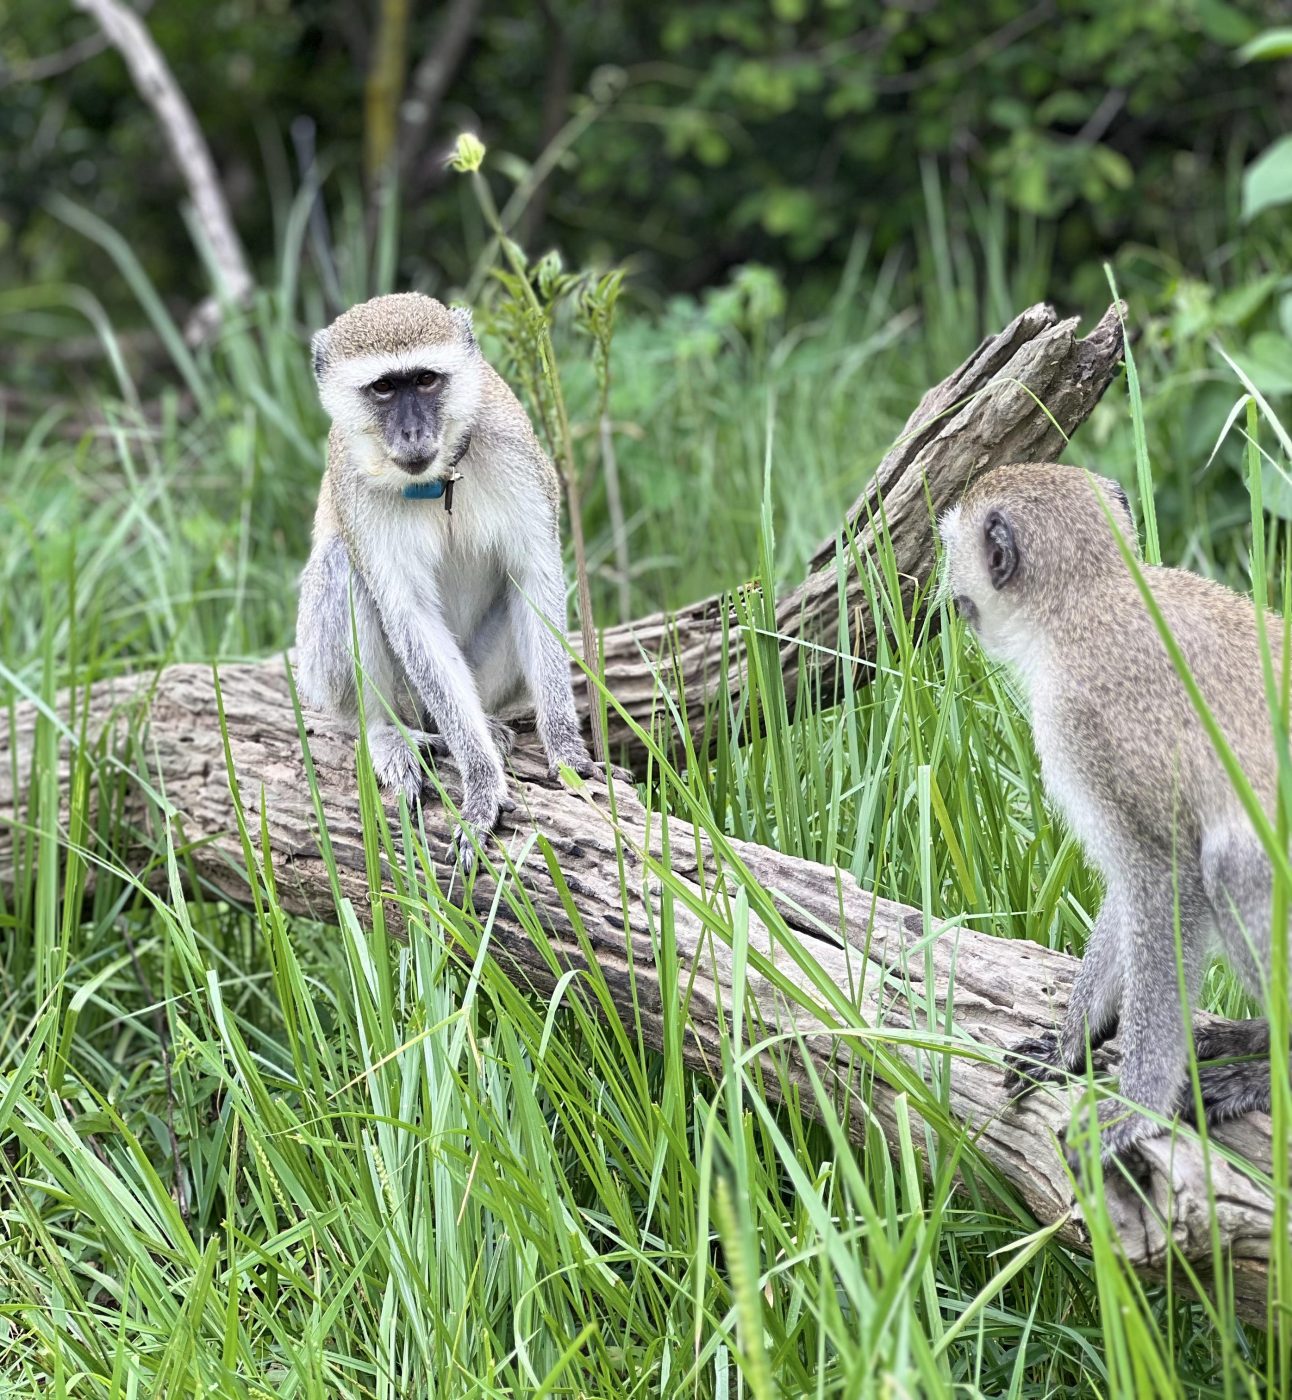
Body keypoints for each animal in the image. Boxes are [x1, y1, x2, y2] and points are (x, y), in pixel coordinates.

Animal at [295, 294, 599, 856]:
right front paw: (481, 782)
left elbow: (533, 581)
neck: (439, 481)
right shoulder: (354, 485)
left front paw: (566, 751)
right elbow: (408, 613)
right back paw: (388, 733)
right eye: (385, 387)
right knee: (341, 563)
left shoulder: (516, 452)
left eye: (426, 380)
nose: (413, 433)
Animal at [940, 464, 1292, 1164]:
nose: (947, 598)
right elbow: (1128, 897)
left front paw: (1139, 1105)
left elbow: (1167, 882)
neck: (1088, 600)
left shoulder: (1083, 726)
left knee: (1231, 862)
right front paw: (1068, 1045)